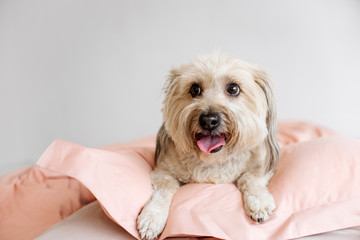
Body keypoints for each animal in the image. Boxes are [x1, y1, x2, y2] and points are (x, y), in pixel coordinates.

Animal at [136, 52, 280, 240]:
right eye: (195, 89)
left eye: (233, 88)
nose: (208, 120)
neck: (214, 161)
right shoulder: (162, 172)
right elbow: (164, 190)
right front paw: (151, 218)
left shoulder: (261, 167)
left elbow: (249, 178)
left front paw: (259, 203)